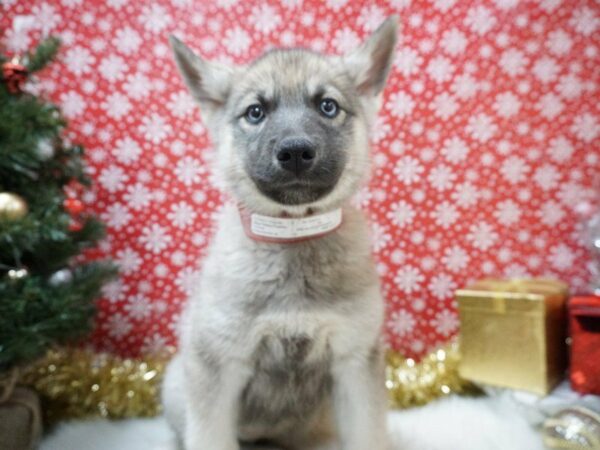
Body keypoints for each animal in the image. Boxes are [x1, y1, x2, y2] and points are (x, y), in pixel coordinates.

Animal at [164, 17, 398, 450]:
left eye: (327, 106)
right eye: (255, 112)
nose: (295, 152)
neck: (293, 236)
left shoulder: (355, 363)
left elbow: (368, 434)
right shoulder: (218, 366)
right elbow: (209, 436)